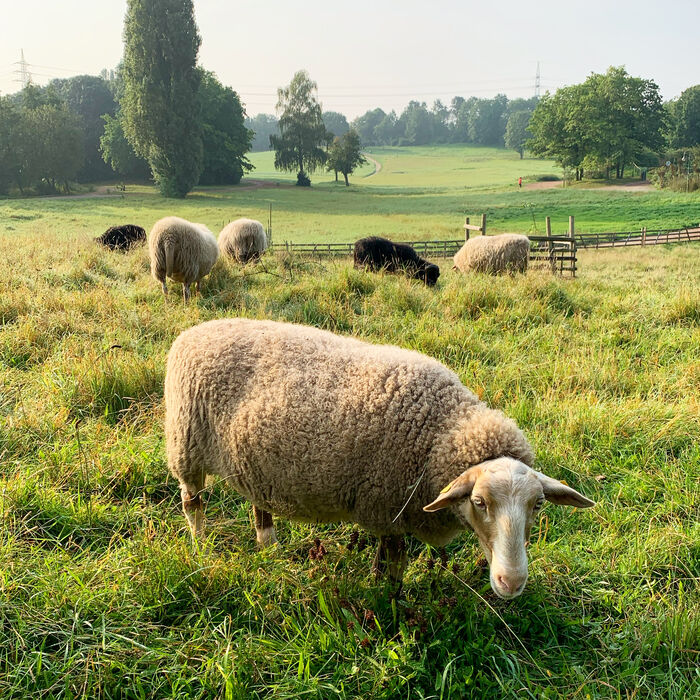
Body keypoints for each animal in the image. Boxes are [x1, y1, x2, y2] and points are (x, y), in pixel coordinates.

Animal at [165, 320, 596, 600]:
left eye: (538, 506)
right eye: (478, 502)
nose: (512, 583)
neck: (441, 431)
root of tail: (193, 330)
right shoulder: (385, 508)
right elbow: (392, 564)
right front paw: (387, 598)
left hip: (253, 461)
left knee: (259, 503)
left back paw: (268, 546)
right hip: (185, 443)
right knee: (191, 502)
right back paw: (200, 546)